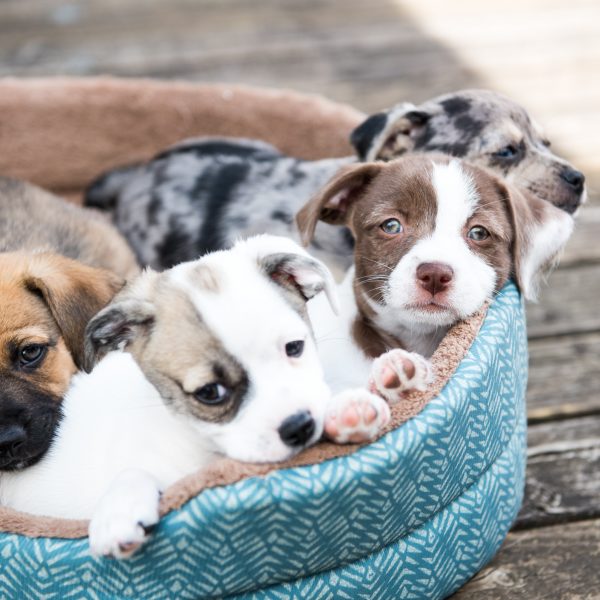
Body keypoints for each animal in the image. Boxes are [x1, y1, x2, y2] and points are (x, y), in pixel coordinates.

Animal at [0, 234, 390, 556]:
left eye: (295, 347)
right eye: (209, 392)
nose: (300, 426)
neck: (206, 448)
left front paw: (349, 406)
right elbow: (134, 473)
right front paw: (119, 510)